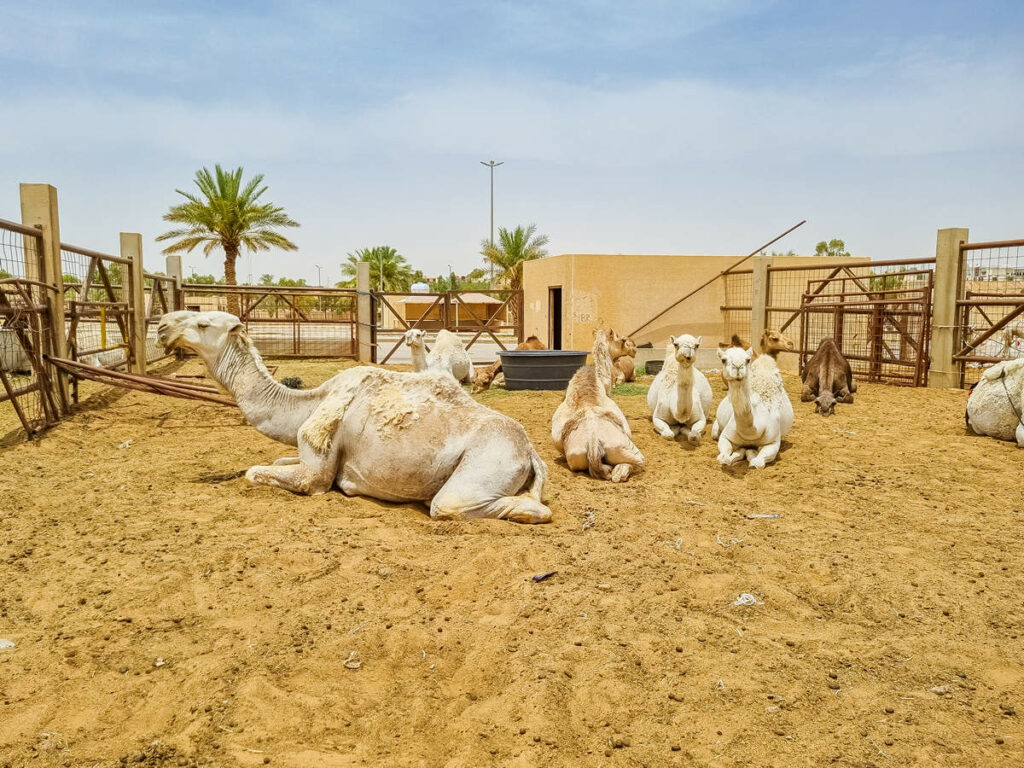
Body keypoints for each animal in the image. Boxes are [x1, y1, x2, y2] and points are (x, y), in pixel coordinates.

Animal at [153, 311, 552, 524]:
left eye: (203, 324)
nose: (162, 325)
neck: (308, 403)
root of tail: (531, 452)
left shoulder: (315, 472)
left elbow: (259, 473)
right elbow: (275, 460)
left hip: (482, 468)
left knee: (459, 505)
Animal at [548, 329, 643, 481]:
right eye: (622, 340)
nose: (634, 350)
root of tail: (593, 444)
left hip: (575, 458)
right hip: (626, 449)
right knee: (627, 469)